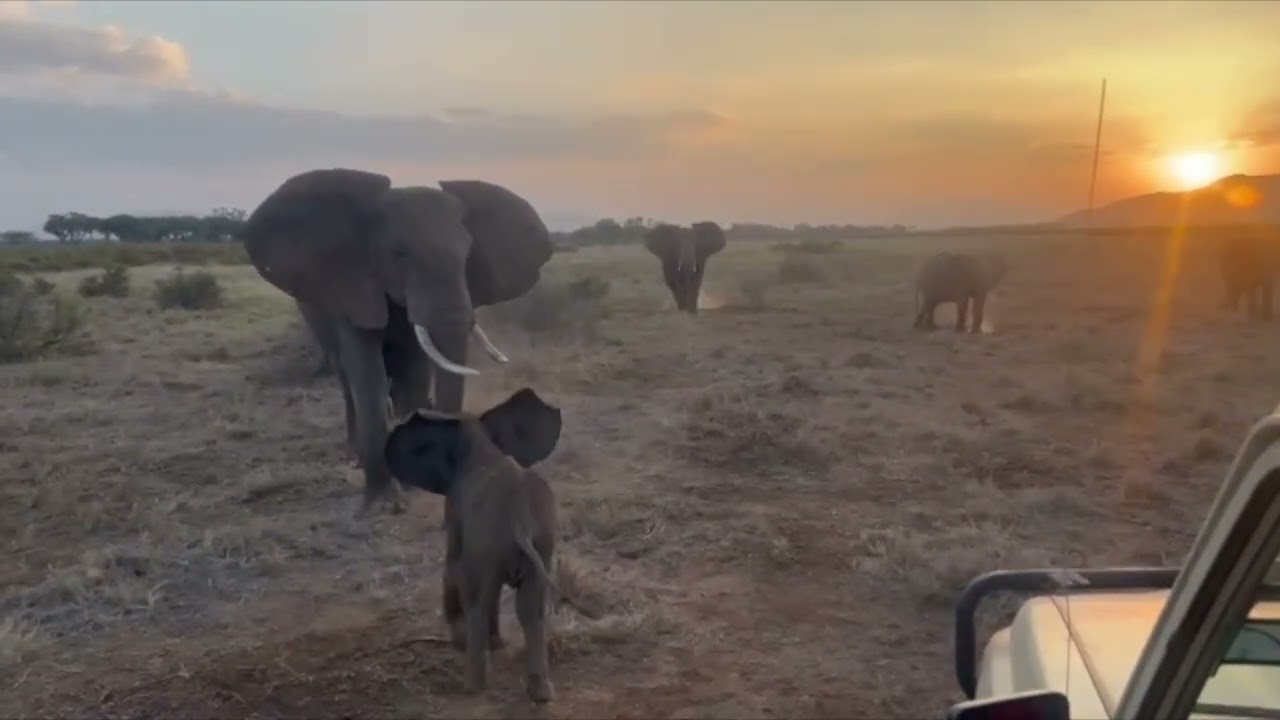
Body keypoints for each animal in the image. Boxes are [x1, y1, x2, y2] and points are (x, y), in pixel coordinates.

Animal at [242, 168, 553, 514]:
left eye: (468, 254)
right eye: (399, 255)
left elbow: (414, 374)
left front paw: (413, 485)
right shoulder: (353, 288)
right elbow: (369, 376)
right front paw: (382, 501)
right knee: (345, 378)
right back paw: (353, 452)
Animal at [383, 387, 567, 703]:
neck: (480, 441)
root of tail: (518, 519)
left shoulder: (455, 508)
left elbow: (452, 563)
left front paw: (462, 642)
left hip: (490, 545)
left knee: (478, 600)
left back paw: (473, 687)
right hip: (541, 543)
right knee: (530, 608)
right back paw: (541, 694)